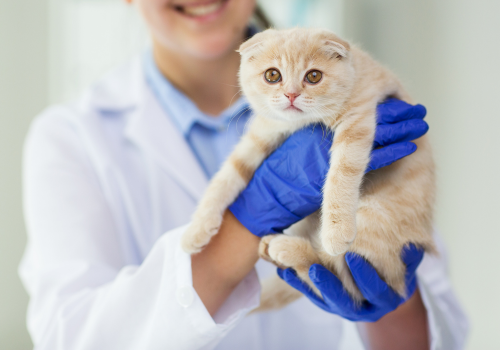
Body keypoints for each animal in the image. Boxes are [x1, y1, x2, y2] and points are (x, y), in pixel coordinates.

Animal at [182, 28, 436, 310]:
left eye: (313, 76)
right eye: (272, 75)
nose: (291, 94)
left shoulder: (357, 120)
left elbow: (341, 175)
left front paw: (336, 230)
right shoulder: (262, 133)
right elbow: (226, 177)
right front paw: (196, 229)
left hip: (374, 221)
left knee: (336, 278)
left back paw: (287, 248)